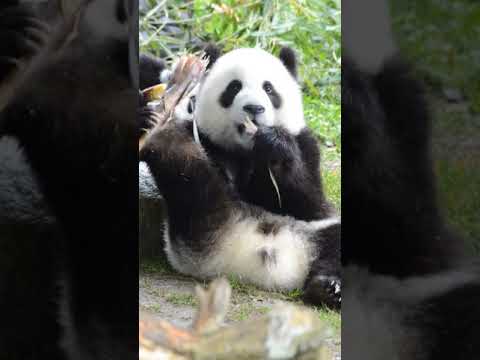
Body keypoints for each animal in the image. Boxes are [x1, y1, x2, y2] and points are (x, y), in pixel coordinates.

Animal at [139, 45, 342, 306]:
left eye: (269, 88)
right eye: (234, 87)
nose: (254, 109)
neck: (246, 149)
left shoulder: (306, 146)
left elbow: (310, 203)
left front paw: (274, 146)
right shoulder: (207, 139)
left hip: (317, 232)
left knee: (334, 246)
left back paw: (328, 287)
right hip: (198, 222)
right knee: (191, 178)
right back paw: (163, 123)